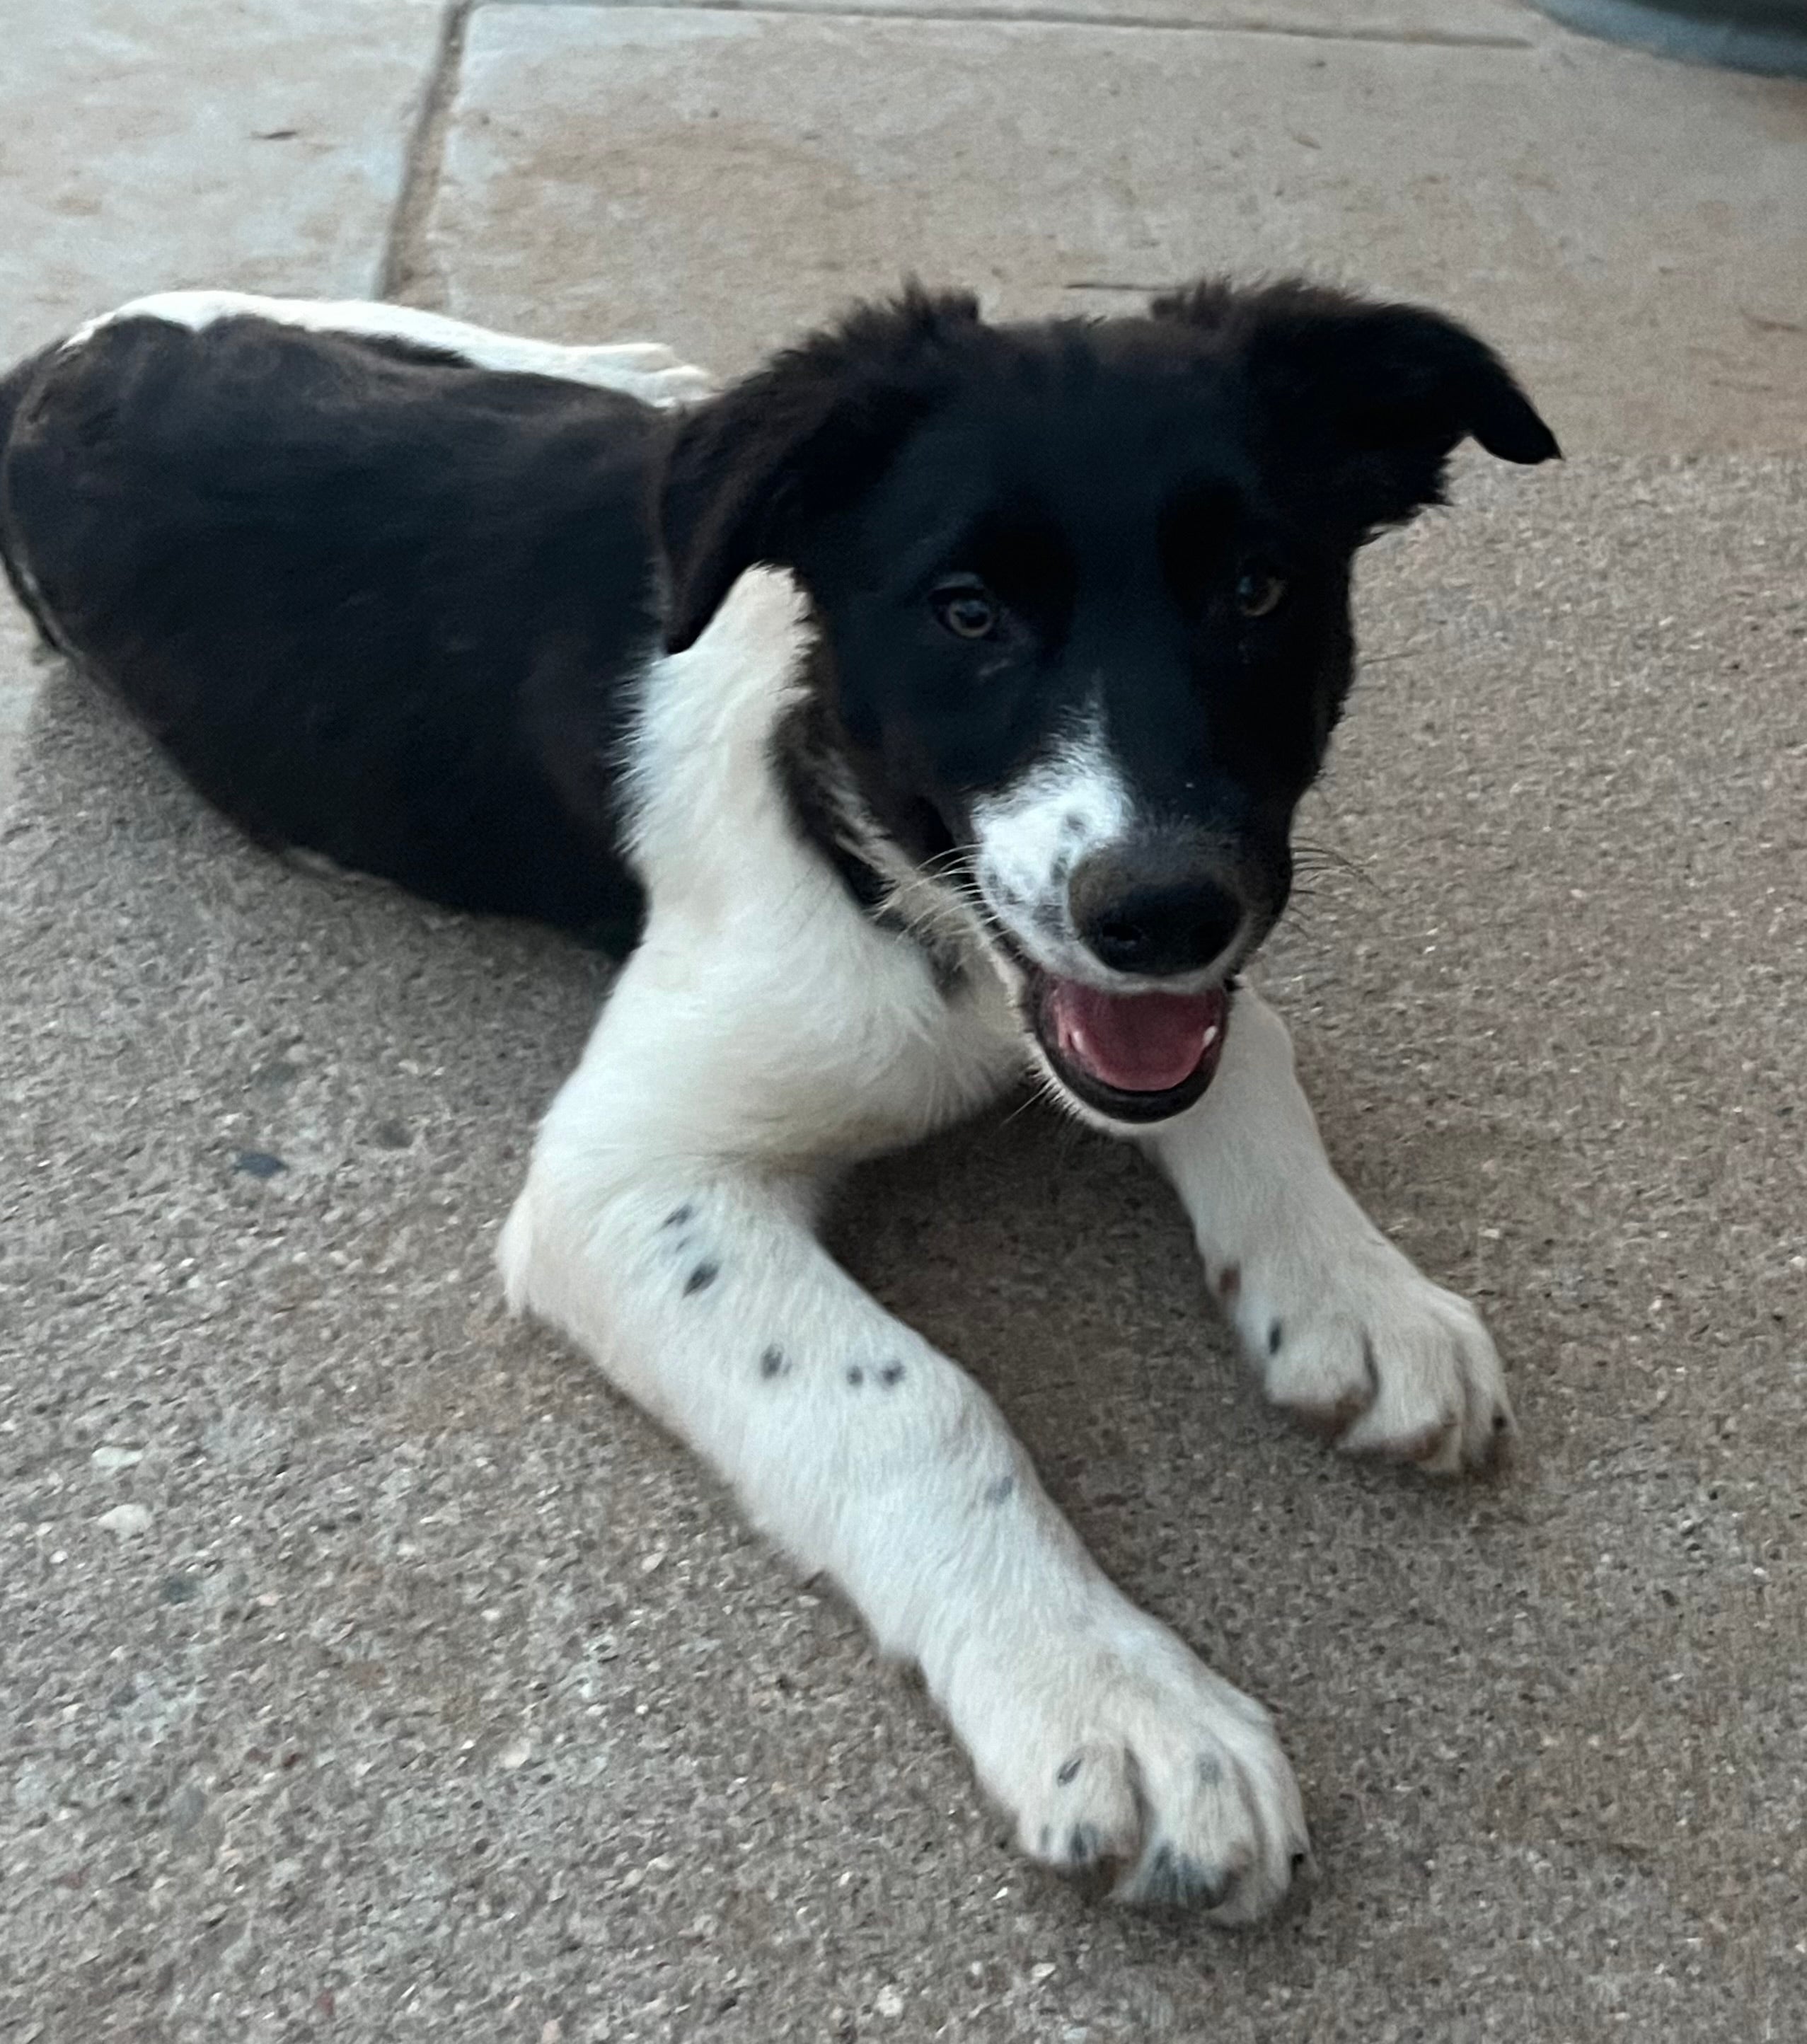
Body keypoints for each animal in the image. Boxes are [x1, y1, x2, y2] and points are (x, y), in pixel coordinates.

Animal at [0, 279, 1553, 1921]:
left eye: (1256, 590)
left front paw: (1349, 1284)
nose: (1160, 908)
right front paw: (1106, 1693)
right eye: (964, 611)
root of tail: (67, 354)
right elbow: (910, 1399)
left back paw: (635, 369)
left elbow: (1240, 1045)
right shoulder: (622, 1180)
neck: (884, 848)